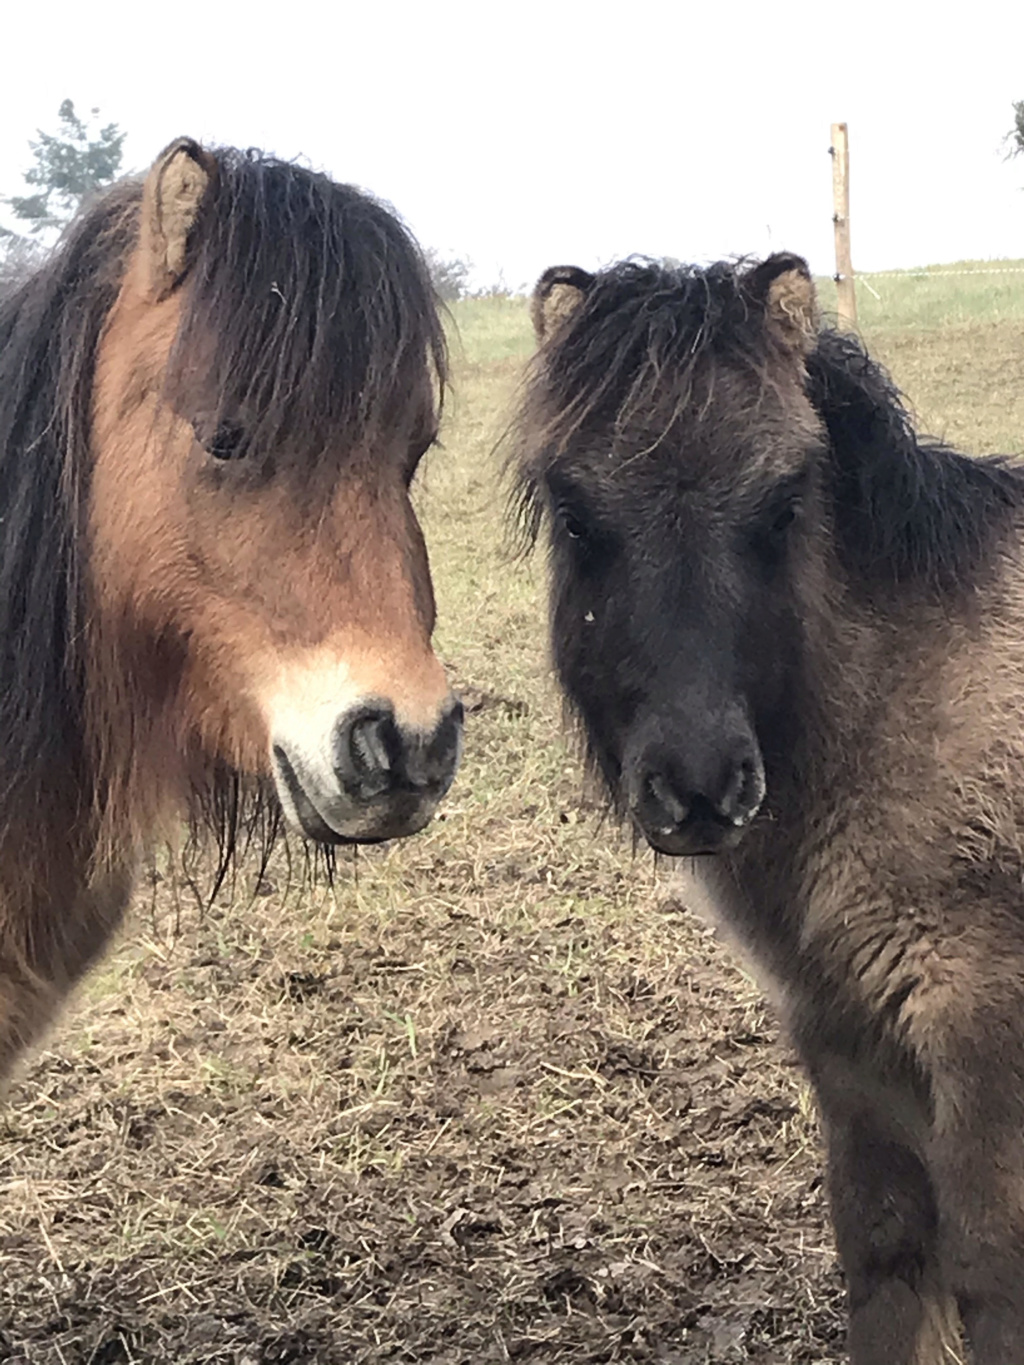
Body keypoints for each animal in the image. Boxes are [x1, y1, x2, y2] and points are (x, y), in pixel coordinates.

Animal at [516, 251, 1024, 1359]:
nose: (699, 783)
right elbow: (886, 1257)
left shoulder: (981, 1042)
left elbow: (987, 1277)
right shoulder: (849, 1040)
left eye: (785, 504)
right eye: (575, 516)